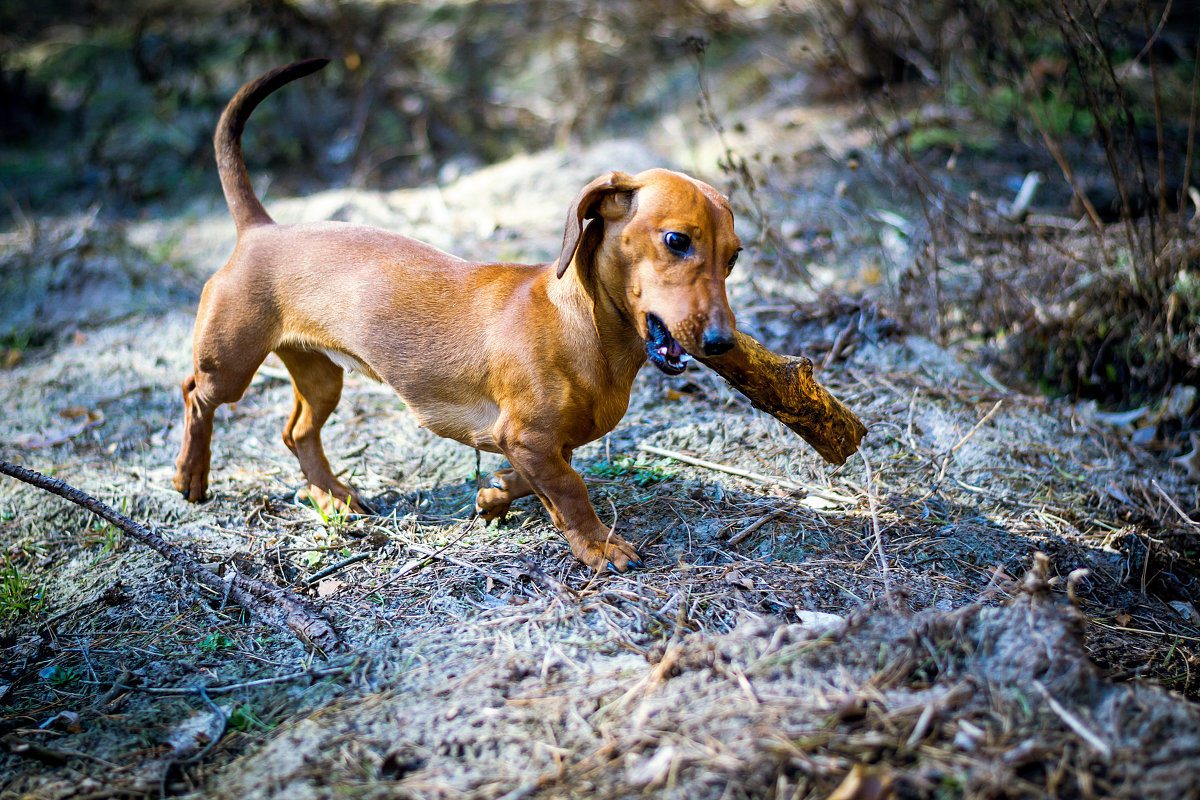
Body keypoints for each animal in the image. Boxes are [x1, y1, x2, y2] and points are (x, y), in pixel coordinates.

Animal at [175, 59, 739, 573]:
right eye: (676, 240)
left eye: (733, 257)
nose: (723, 343)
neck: (582, 325)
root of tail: (261, 228)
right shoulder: (528, 438)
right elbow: (570, 487)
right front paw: (599, 545)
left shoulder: (537, 443)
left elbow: (537, 478)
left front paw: (495, 497)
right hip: (230, 365)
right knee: (195, 395)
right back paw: (190, 475)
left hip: (321, 377)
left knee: (298, 434)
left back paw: (332, 496)